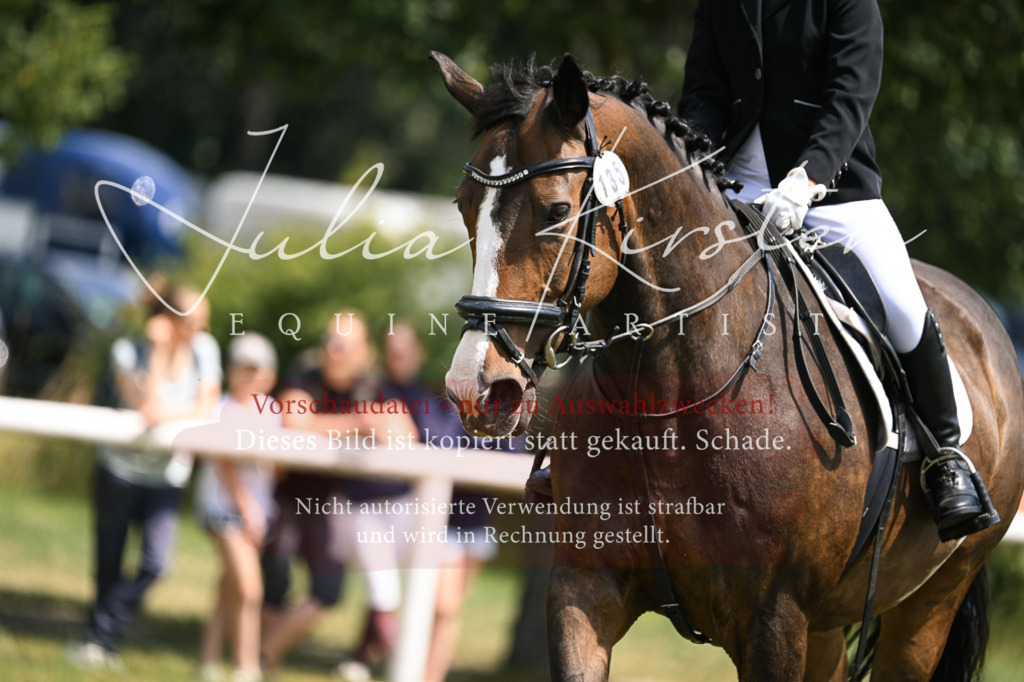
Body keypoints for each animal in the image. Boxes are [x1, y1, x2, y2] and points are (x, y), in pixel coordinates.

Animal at [432, 50, 1024, 681]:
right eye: (464, 207)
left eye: (558, 210)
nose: (477, 389)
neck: (668, 401)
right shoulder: (583, 588)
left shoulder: (773, 619)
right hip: (828, 625)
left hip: (931, 604)